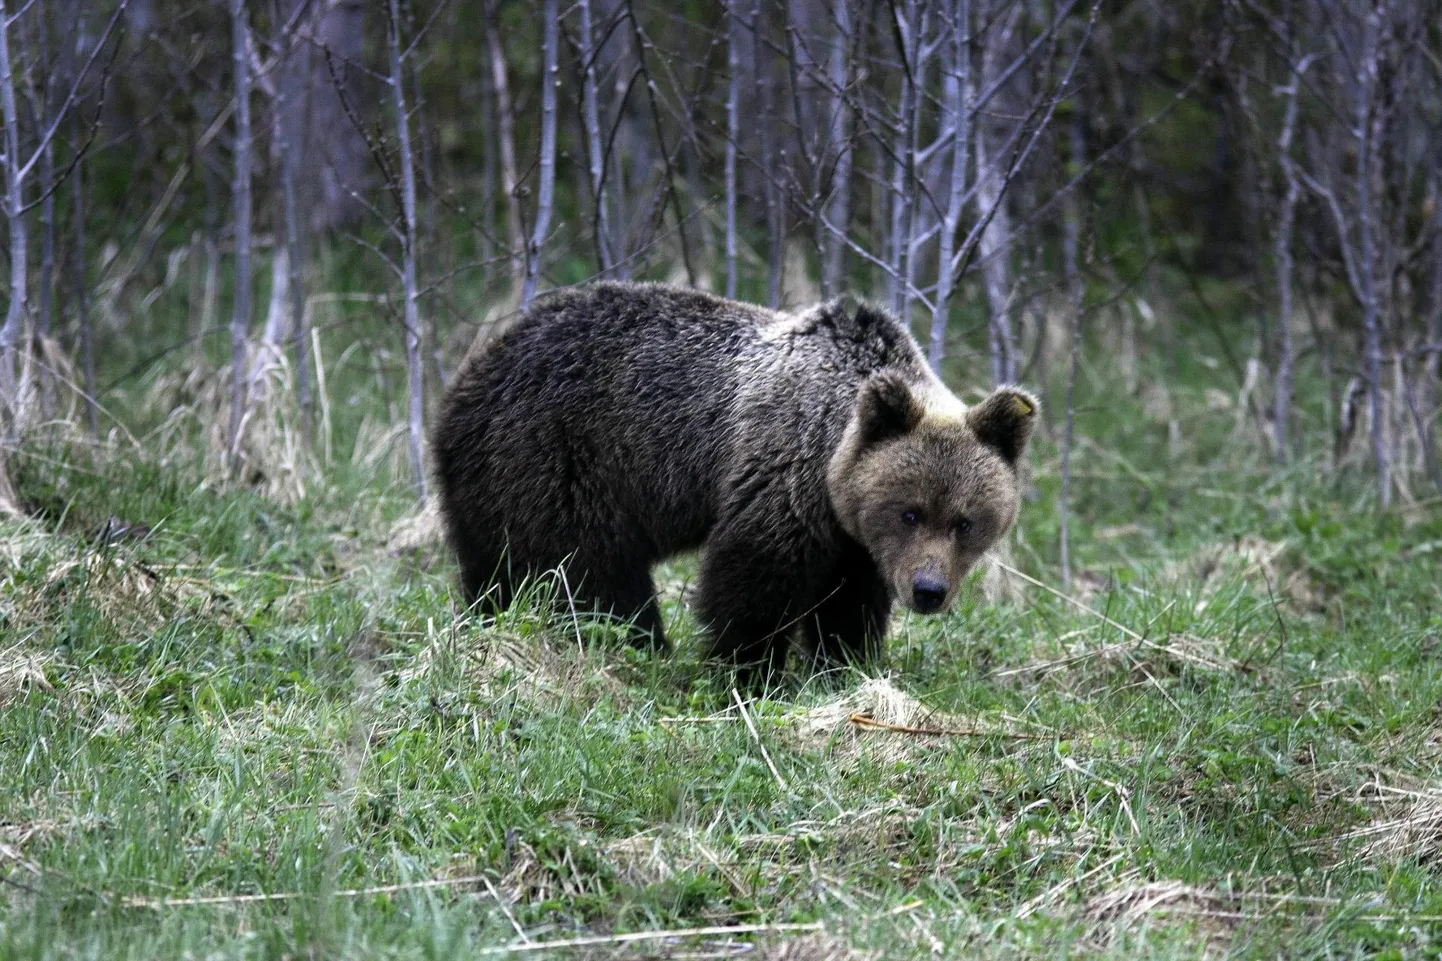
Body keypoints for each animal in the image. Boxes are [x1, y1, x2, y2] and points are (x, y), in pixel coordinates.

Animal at [429, 281, 1038, 678]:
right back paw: (644, 645)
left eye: (965, 522)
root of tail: (470, 376)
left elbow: (849, 600)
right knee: (594, 574)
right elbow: (753, 583)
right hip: (561, 457)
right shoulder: (786, 475)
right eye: (910, 511)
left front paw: (843, 665)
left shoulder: (856, 539)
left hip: (495, 486)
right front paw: (749, 671)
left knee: (493, 567)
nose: (928, 591)